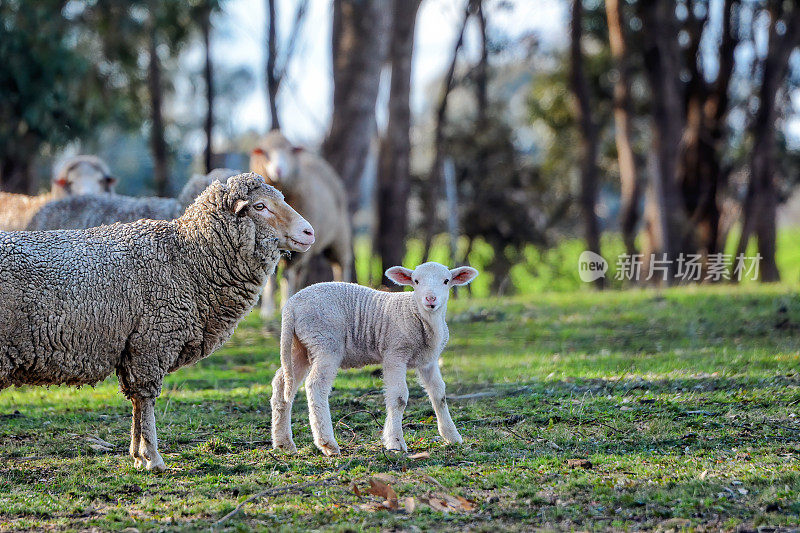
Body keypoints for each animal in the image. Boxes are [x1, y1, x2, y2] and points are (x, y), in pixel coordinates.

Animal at [248, 130, 352, 316]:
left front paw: (283, 305)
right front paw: (267, 311)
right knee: (301, 273)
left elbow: (287, 274)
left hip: (339, 237)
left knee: (341, 265)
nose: (278, 170)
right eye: (266, 153)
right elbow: (272, 278)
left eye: (289, 151)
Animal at [272, 260, 478, 456]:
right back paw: (327, 443)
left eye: (446, 281)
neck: (416, 314)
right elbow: (399, 397)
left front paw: (452, 436)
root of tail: (291, 306)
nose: (430, 299)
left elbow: (439, 395)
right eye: (416, 281)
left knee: (282, 383)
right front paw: (396, 442)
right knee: (315, 385)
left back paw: (284, 443)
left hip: (299, 346)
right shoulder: (395, 354)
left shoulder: (428, 361)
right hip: (325, 342)